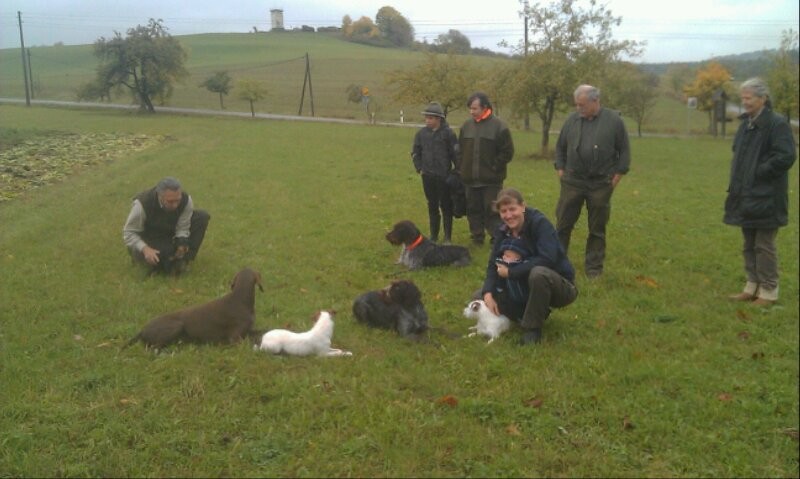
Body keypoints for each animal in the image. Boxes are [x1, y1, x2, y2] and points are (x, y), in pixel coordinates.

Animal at [123, 268, 264, 350]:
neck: (240, 298)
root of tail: (142, 330)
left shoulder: (248, 330)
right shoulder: (235, 339)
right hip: (176, 325)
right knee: (153, 349)